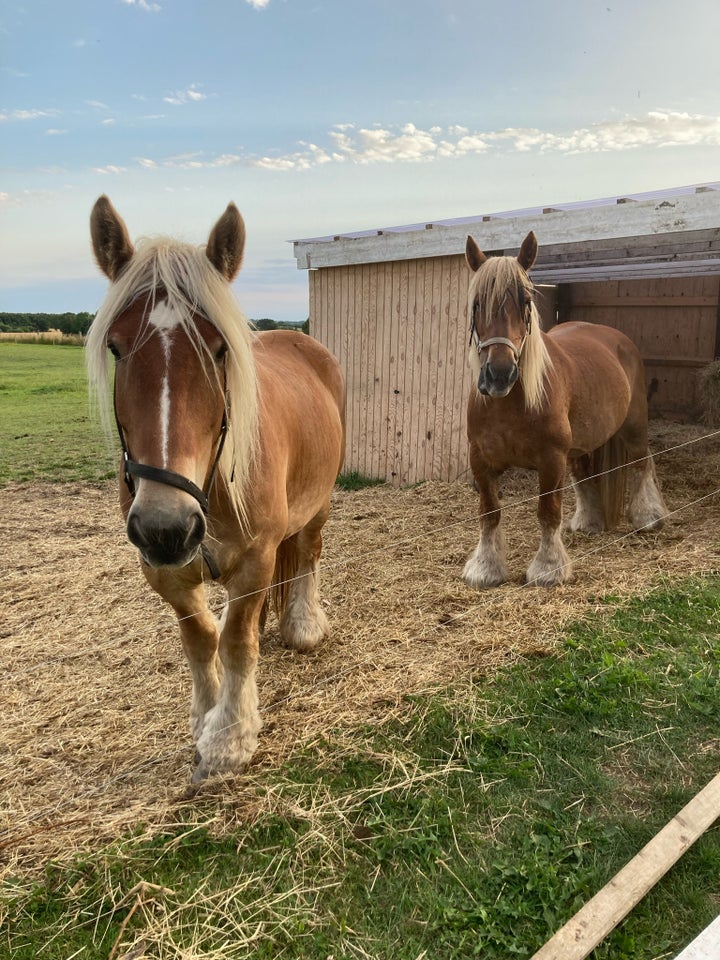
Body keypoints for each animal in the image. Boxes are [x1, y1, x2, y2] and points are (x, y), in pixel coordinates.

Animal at [87, 195, 346, 780]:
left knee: (311, 552)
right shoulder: (165, 571)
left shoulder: (255, 558)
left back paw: (303, 624)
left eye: (218, 348)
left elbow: (236, 644)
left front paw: (230, 736)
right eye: (116, 347)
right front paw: (206, 718)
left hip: (319, 504)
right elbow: (201, 639)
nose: (165, 525)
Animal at [462, 233, 664, 592]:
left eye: (526, 303)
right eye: (477, 305)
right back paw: (588, 521)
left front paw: (548, 568)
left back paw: (649, 517)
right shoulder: (481, 461)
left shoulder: (550, 459)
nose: (499, 374)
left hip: (634, 426)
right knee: (583, 476)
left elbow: (548, 512)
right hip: (580, 445)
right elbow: (489, 512)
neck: (510, 404)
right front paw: (486, 568)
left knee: (642, 463)